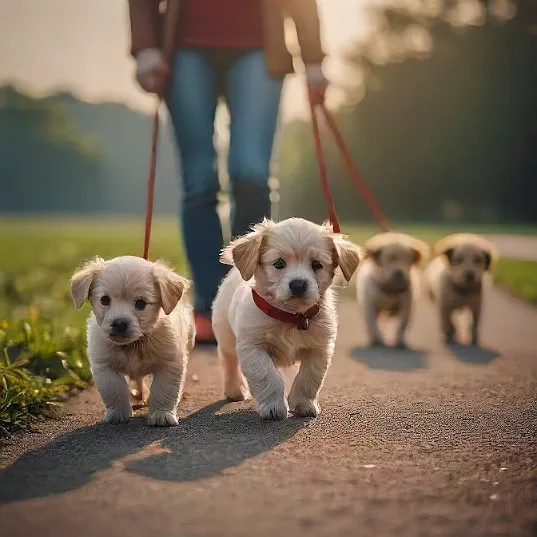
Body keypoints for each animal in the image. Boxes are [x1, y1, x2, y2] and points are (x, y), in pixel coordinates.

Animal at [70, 255, 194, 428]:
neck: (133, 344)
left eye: (141, 303)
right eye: (104, 300)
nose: (119, 323)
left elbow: (164, 390)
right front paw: (117, 413)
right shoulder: (104, 366)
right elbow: (114, 390)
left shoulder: (170, 363)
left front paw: (161, 414)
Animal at [210, 217, 360, 418]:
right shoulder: (253, 347)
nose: (298, 285)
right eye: (279, 264)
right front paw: (273, 407)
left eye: (317, 265)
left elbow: (309, 378)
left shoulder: (319, 348)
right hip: (226, 336)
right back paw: (235, 390)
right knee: (229, 361)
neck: (291, 316)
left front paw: (304, 404)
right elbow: (267, 376)